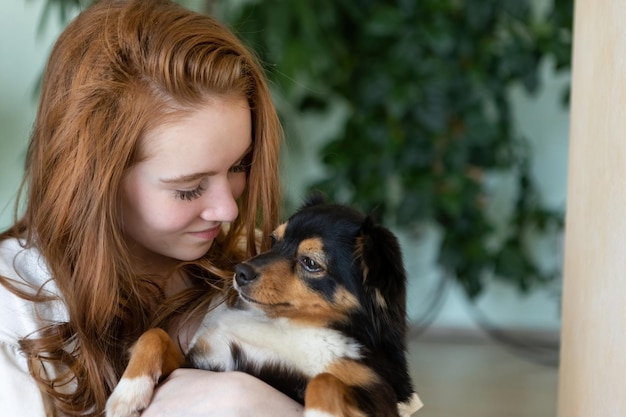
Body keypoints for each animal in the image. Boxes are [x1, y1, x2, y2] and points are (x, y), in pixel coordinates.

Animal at [106, 197, 420, 416]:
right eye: (273, 240)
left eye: (310, 263)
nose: (240, 272)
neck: (288, 323)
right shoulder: (202, 362)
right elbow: (155, 335)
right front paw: (127, 392)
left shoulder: (378, 398)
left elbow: (325, 379)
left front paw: (321, 413)